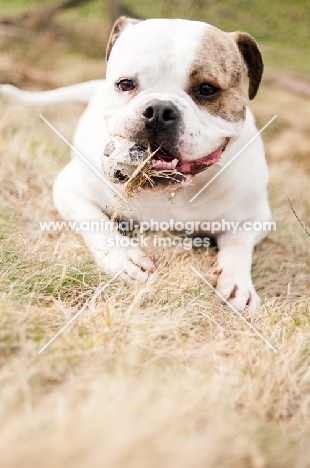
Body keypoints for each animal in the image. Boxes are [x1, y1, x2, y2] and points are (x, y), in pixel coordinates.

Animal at [0, 17, 272, 310]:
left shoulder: (255, 218)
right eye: (126, 84)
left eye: (207, 89)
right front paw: (123, 258)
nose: (159, 111)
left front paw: (236, 283)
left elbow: (238, 245)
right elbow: (95, 222)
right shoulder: (69, 191)